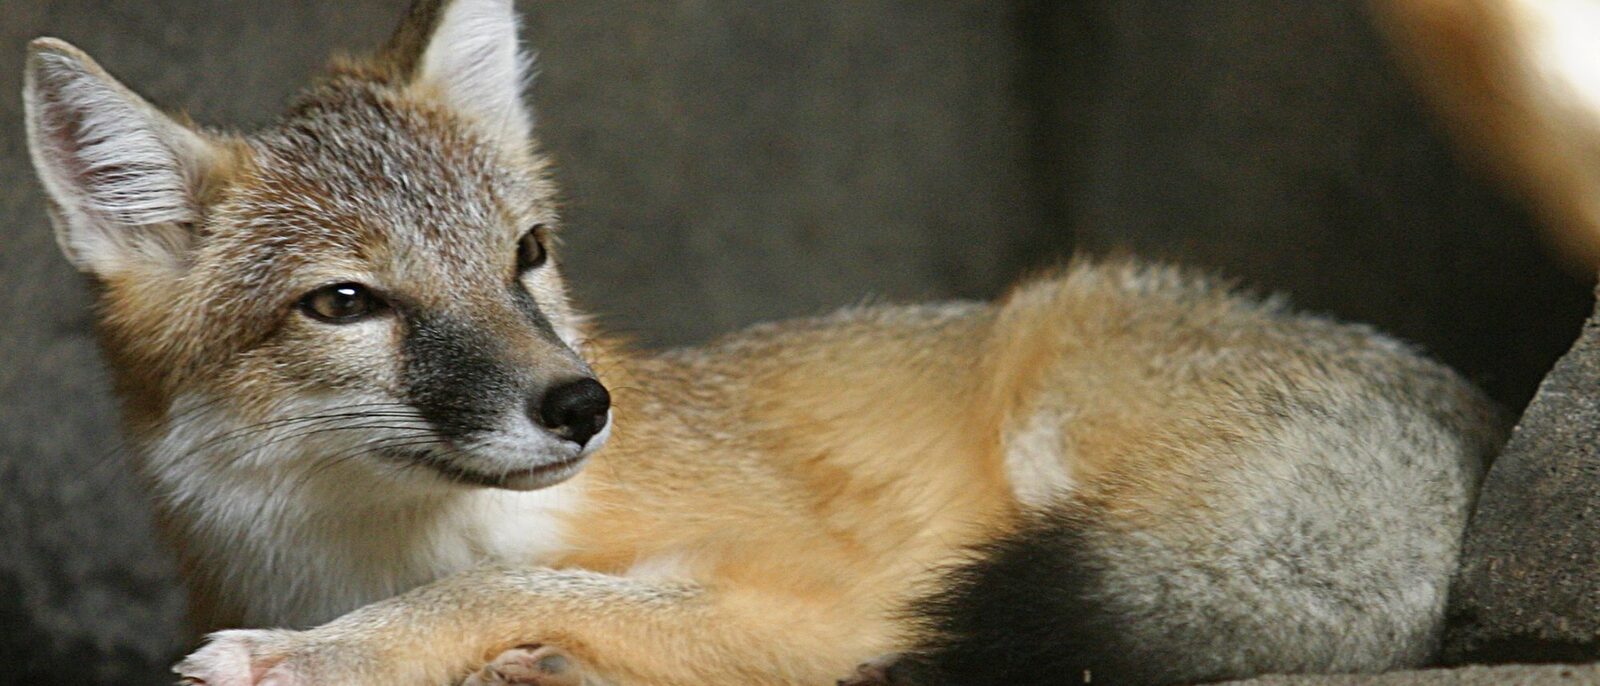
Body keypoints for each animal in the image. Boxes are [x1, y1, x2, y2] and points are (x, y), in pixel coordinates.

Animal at [22, 1, 1506, 684]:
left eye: (525, 256)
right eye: (346, 304)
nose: (580, 405)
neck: (358, 549)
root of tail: (1473, 415)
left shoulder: (810, 586)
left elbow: (512, 586)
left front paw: (326, 653)